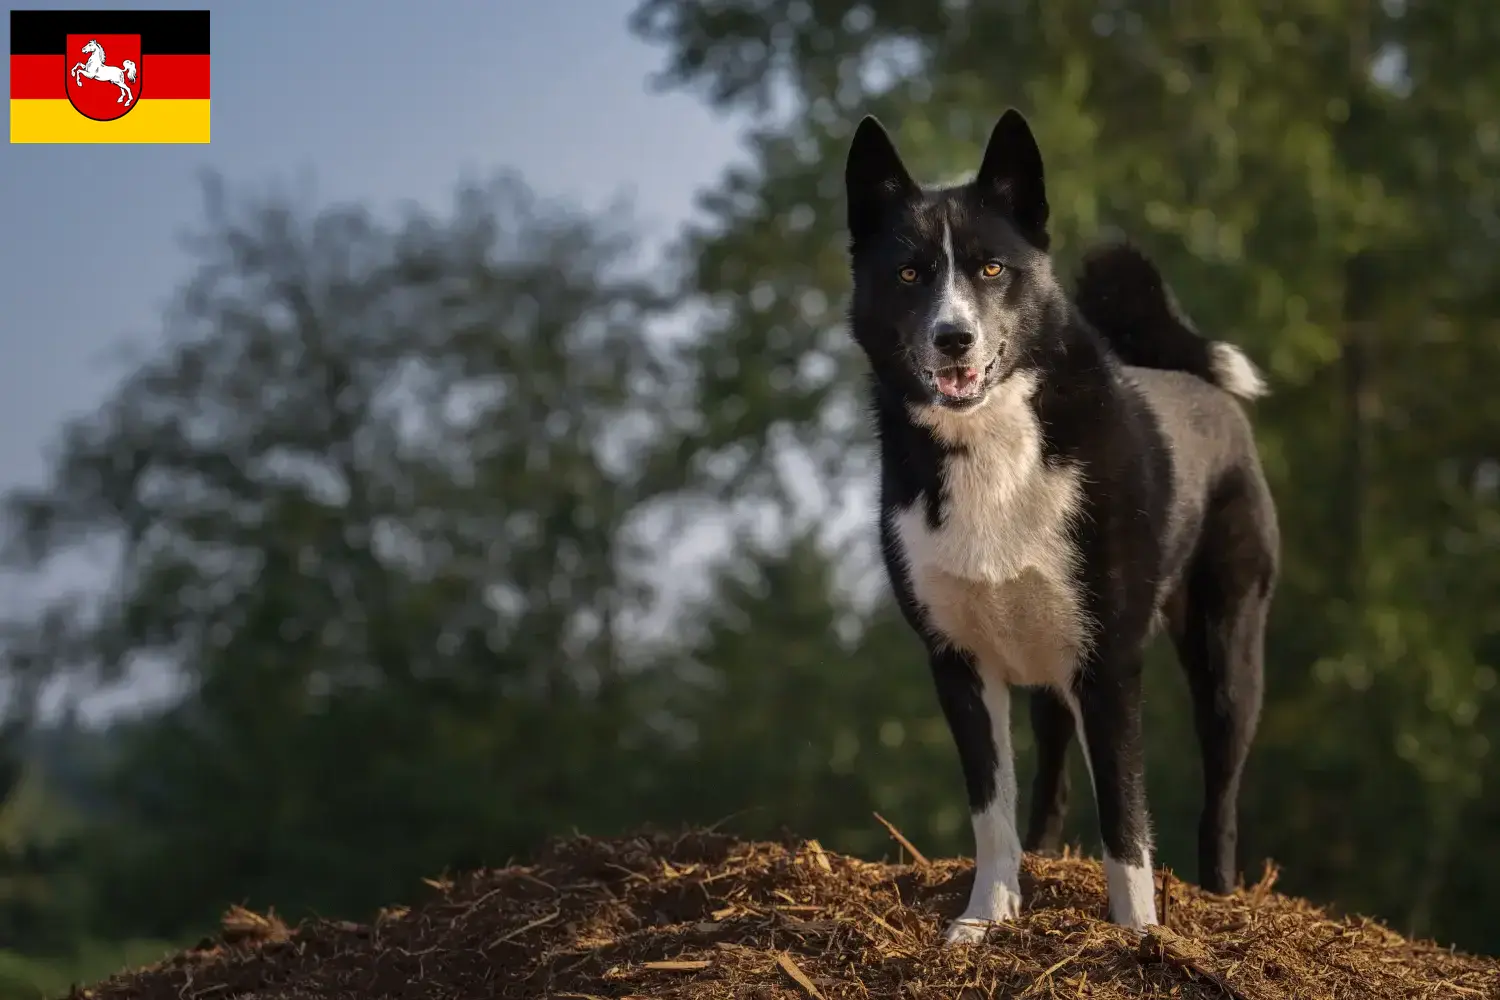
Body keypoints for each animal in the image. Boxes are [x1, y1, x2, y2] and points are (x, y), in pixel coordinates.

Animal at [846, 111, 1278, 947]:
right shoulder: (959, 662)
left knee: (1222, 792)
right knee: (1050, 779)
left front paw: (1139, 936)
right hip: (1046, 663)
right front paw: (984, 919)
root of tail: (1197, 384)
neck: (993, 441)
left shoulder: (1108, 664)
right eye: (910, 274)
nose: (953, 338)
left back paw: (1219, 898)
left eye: (991, 269)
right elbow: (992, 809)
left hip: (1226, 652)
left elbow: (1126, 819)